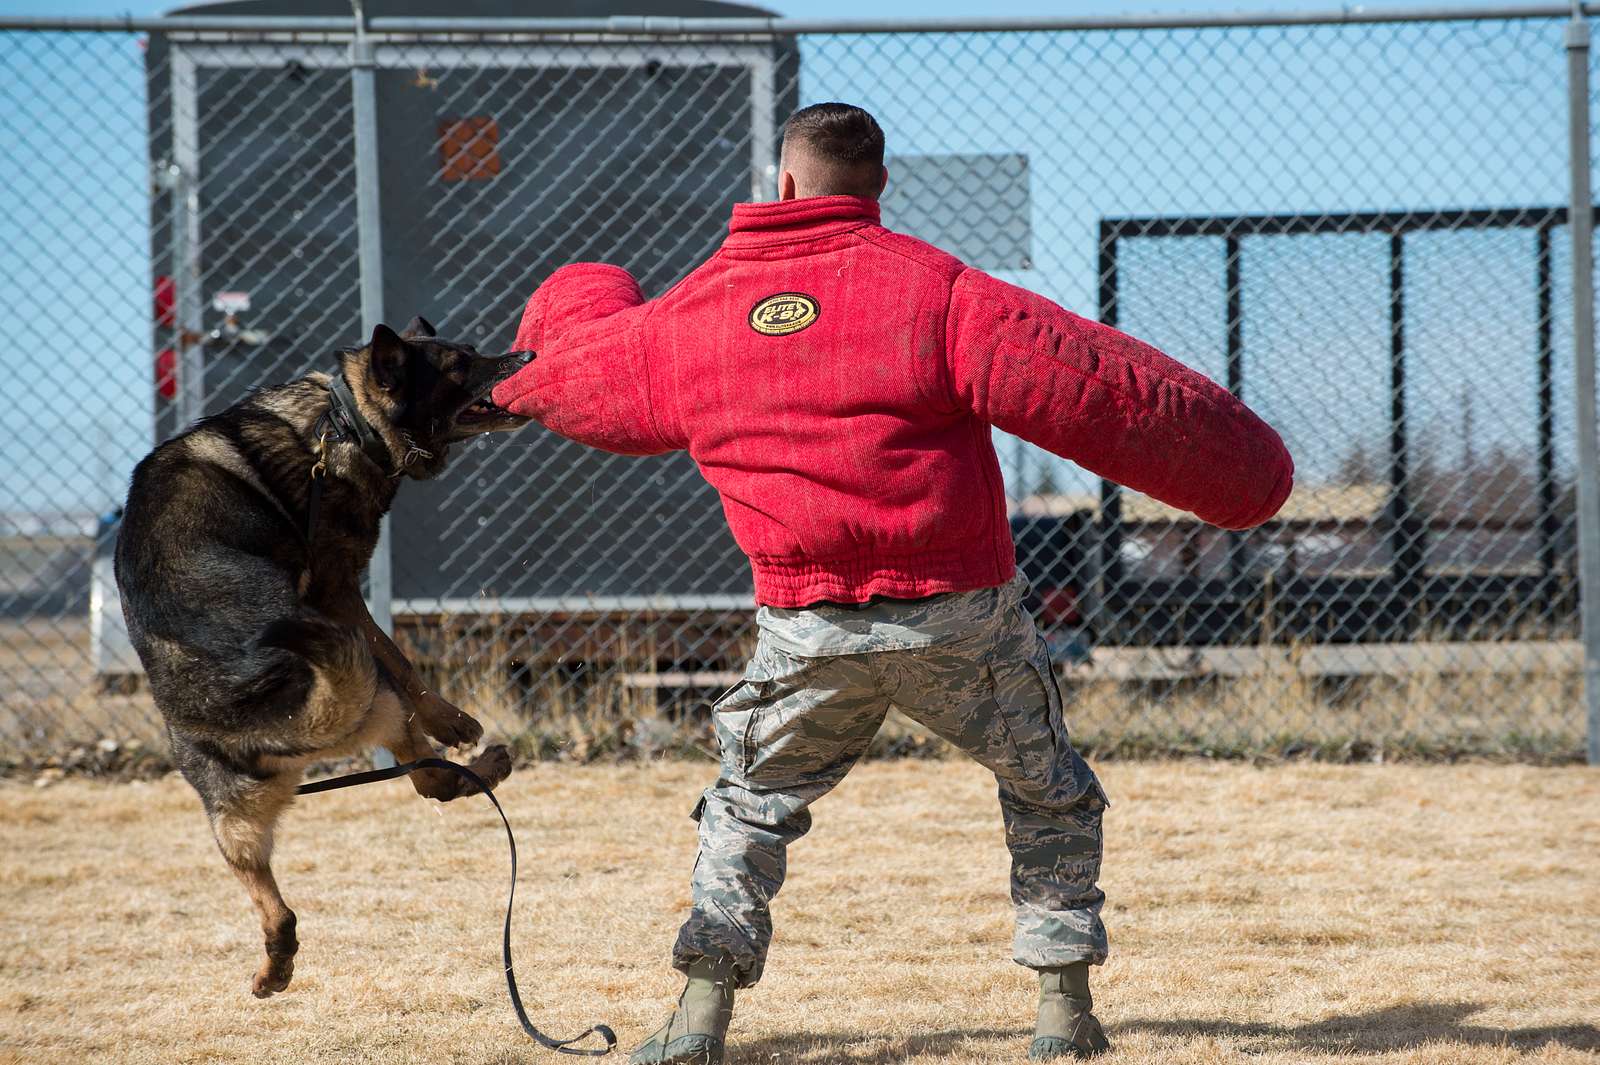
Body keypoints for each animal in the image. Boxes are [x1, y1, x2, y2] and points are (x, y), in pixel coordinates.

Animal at [116, 315, 537, 997]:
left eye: (474, 350)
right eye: (458, 365)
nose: (524, 354)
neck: (342, 420)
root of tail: (276, 718)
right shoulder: (338, 587)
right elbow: (396, 652)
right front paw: (451, 719)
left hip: (229, 818)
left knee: (283, 905)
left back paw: (274, 967)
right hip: (373, 700)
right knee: (427, 770)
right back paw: (486, 762)